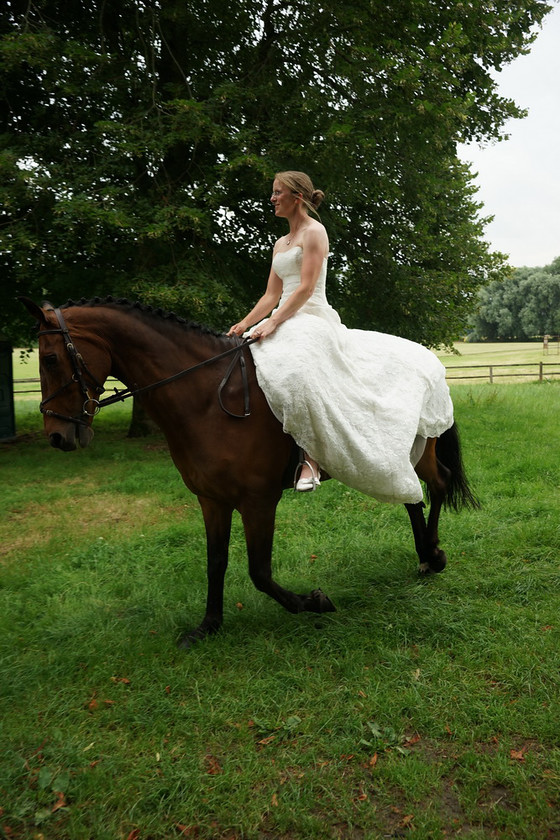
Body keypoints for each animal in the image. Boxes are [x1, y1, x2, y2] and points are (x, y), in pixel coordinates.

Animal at [21, 298, 476, 648]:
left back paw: (433, 556)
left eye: (50, 358)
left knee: (437, 484)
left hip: (421, 448)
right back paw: (424, 556)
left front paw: (313, 602)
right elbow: (216, 562)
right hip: (399, 454)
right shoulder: (211, 499)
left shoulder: (259, 501)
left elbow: (259, 572)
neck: (208, 399)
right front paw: (208, 626)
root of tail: (428, 357)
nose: (57, 435)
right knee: (412, 496)